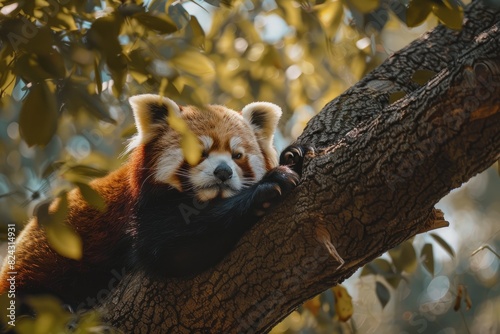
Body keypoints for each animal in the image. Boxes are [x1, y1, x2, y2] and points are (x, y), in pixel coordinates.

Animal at [0, 94, 306, 308]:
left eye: (237, 156)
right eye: (201, 153)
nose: (223, 172)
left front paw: (293, 155)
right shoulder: (136, 211)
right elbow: (167, 247)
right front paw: (267, 189)